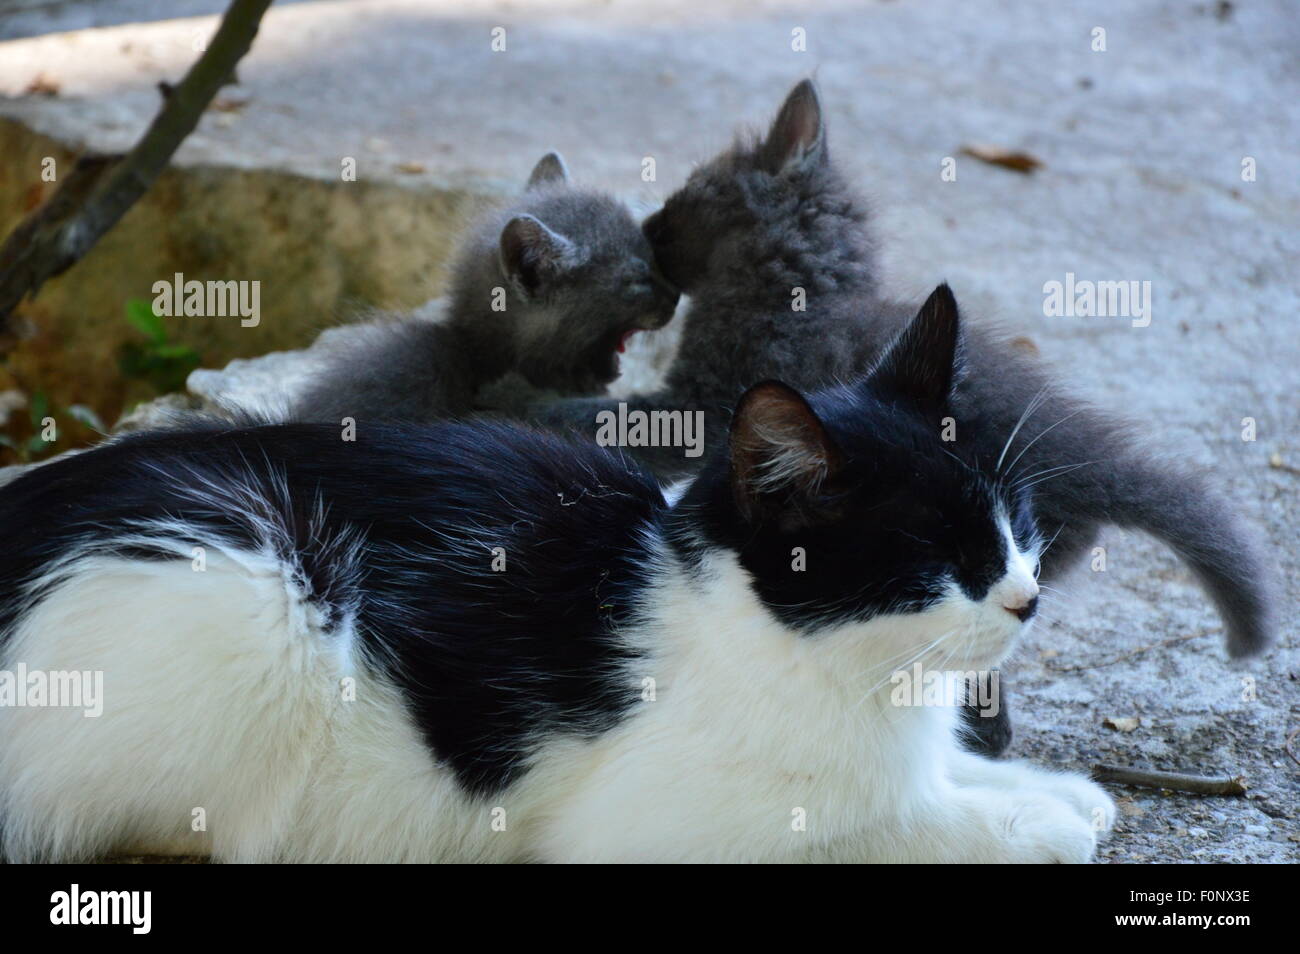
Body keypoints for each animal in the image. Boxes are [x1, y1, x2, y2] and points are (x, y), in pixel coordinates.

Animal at [2, 287, 1118, 863]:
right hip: (258, 591)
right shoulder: (660, 832)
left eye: (1013, 527)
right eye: (940, 557)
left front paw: (1047, 789)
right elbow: (888, 825)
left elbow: (934, 780)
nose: (1026, 598)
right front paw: (1028, 823)